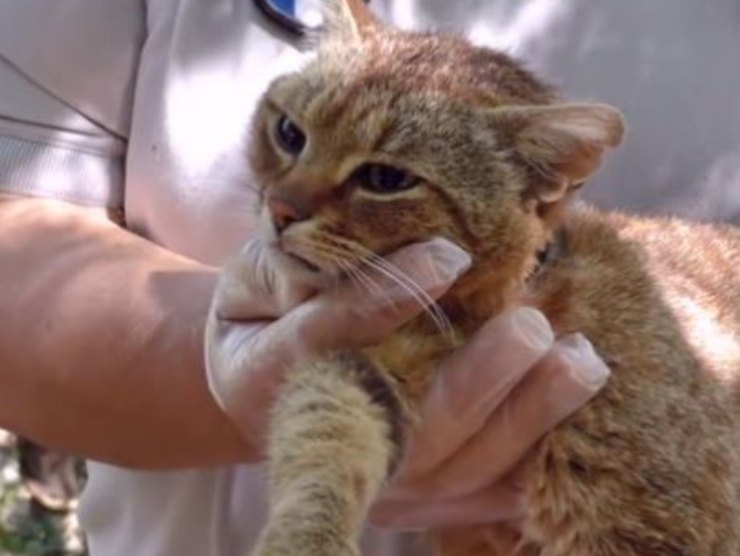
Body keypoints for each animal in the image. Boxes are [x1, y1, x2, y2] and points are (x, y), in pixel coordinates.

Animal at [246, 2, 740, 552]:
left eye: (386, 179)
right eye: (290, 133)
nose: (280, 208)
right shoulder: (363, 368)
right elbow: (322, 434)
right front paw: (305, 536)